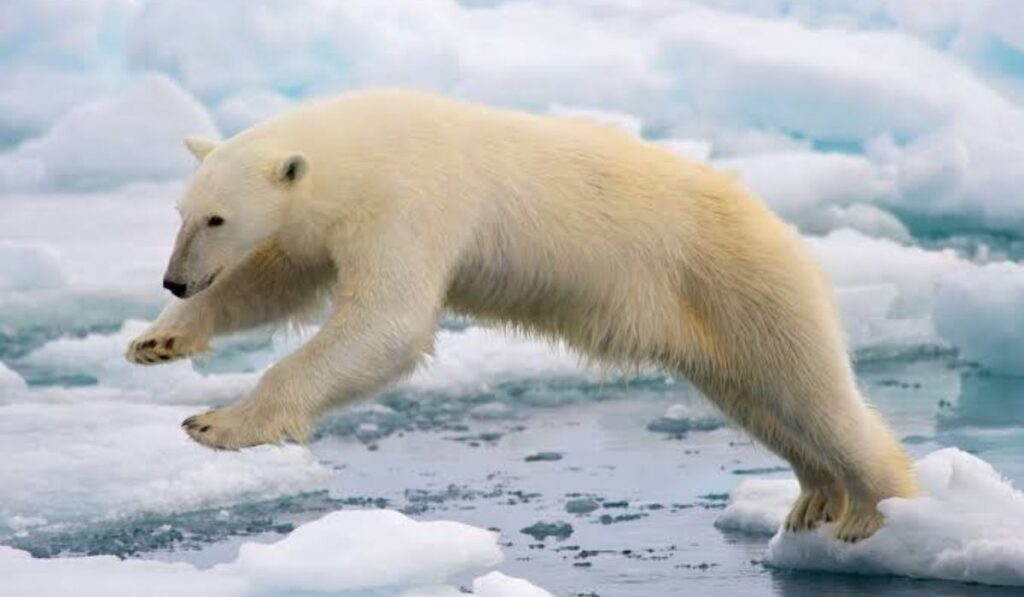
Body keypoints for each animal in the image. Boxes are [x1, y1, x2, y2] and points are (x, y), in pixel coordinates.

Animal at [125, 88, 917, 542]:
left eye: (217, 217)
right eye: (182, 212)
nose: (173, 279)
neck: (364, 146)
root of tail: (777, 224)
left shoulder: (412, 201)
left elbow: (387, 321)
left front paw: (218, 423)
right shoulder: (328, 224)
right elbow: (277, 280)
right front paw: (159, 339)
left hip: (740, 279)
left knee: (811, 391)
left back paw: (874, 509)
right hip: (708, 320)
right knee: (758, 400)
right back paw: (815, 496)